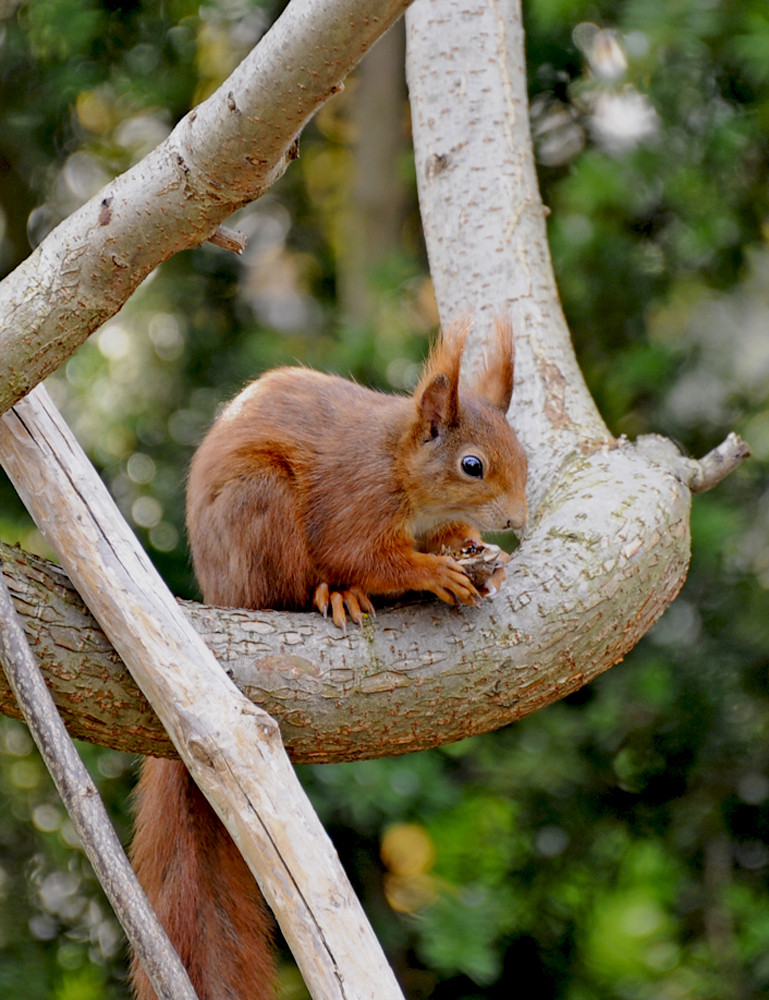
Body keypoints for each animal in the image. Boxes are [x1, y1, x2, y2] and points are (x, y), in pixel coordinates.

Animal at [130, 318, 528, 1000]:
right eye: (471, 465)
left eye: (524, 455)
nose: (519, 521)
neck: (399, 461)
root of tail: (217, 593)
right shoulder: (356, 501)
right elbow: (366, 555)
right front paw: (431, 572)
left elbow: (447, 539)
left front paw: (475, 551)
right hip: (259, 509)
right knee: (296, 586)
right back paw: (332, 594)